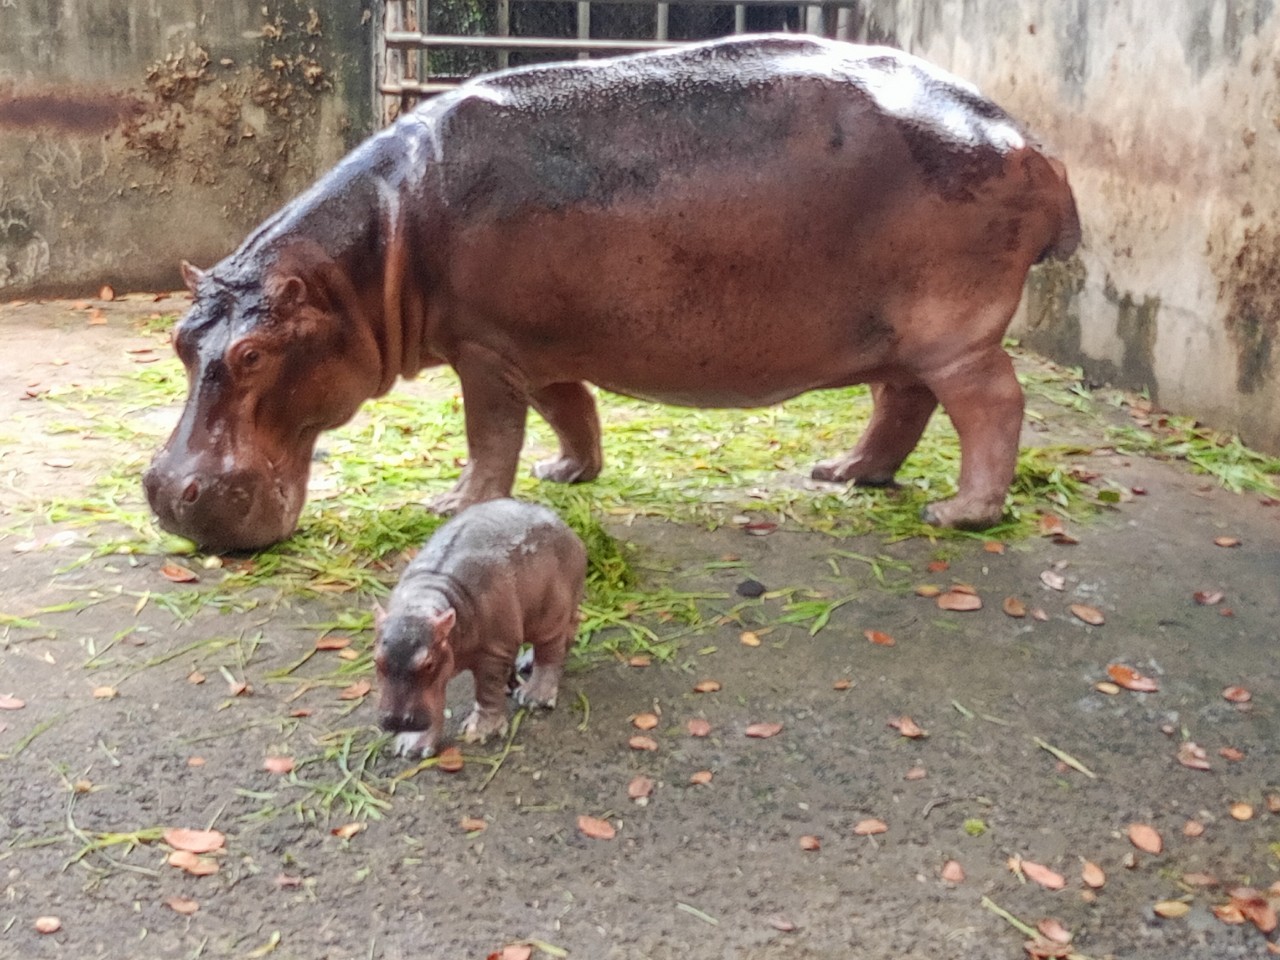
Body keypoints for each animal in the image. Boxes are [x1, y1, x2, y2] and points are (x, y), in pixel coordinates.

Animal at [142, 35, 1080, 547]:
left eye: (253, 354)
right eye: (182, 343)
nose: (165, 495)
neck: (368, 257)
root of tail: (1031, 141)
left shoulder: (482, 349)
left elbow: (491, 435)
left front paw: (454, 503)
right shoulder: (533, 346)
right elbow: (568, 409)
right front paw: (568, 474)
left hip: (952, 331)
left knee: (992, 405)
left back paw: (960, 515)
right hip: (895, 331)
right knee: (902, 403)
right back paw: (844, 474)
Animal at [373, 499, 586, 762]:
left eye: (428, 664)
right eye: (376, 661)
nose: (397, 721)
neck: (422, 604)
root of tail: (566, 528)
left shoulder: (493, 650)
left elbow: (487, 689)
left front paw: (480, 732)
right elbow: (433, 701)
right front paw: (411, 747)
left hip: (549, 613)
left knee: (551, 650)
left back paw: (533, 697)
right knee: (566, 632)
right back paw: (522, 667)